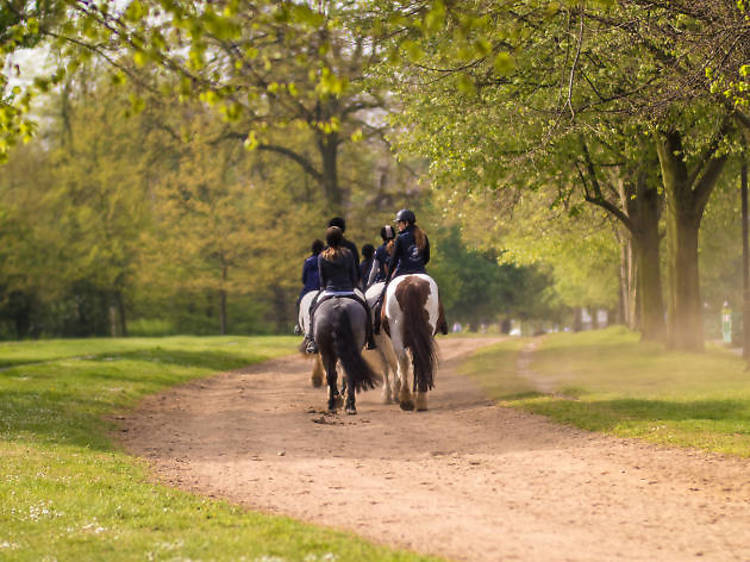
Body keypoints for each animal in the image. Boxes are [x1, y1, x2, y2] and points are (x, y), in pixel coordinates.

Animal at [382, 272, 446, 410]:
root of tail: (411, 286)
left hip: (396, 329)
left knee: (404, 359)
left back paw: (408, 398)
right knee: (418, 359)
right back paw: (417, 399)